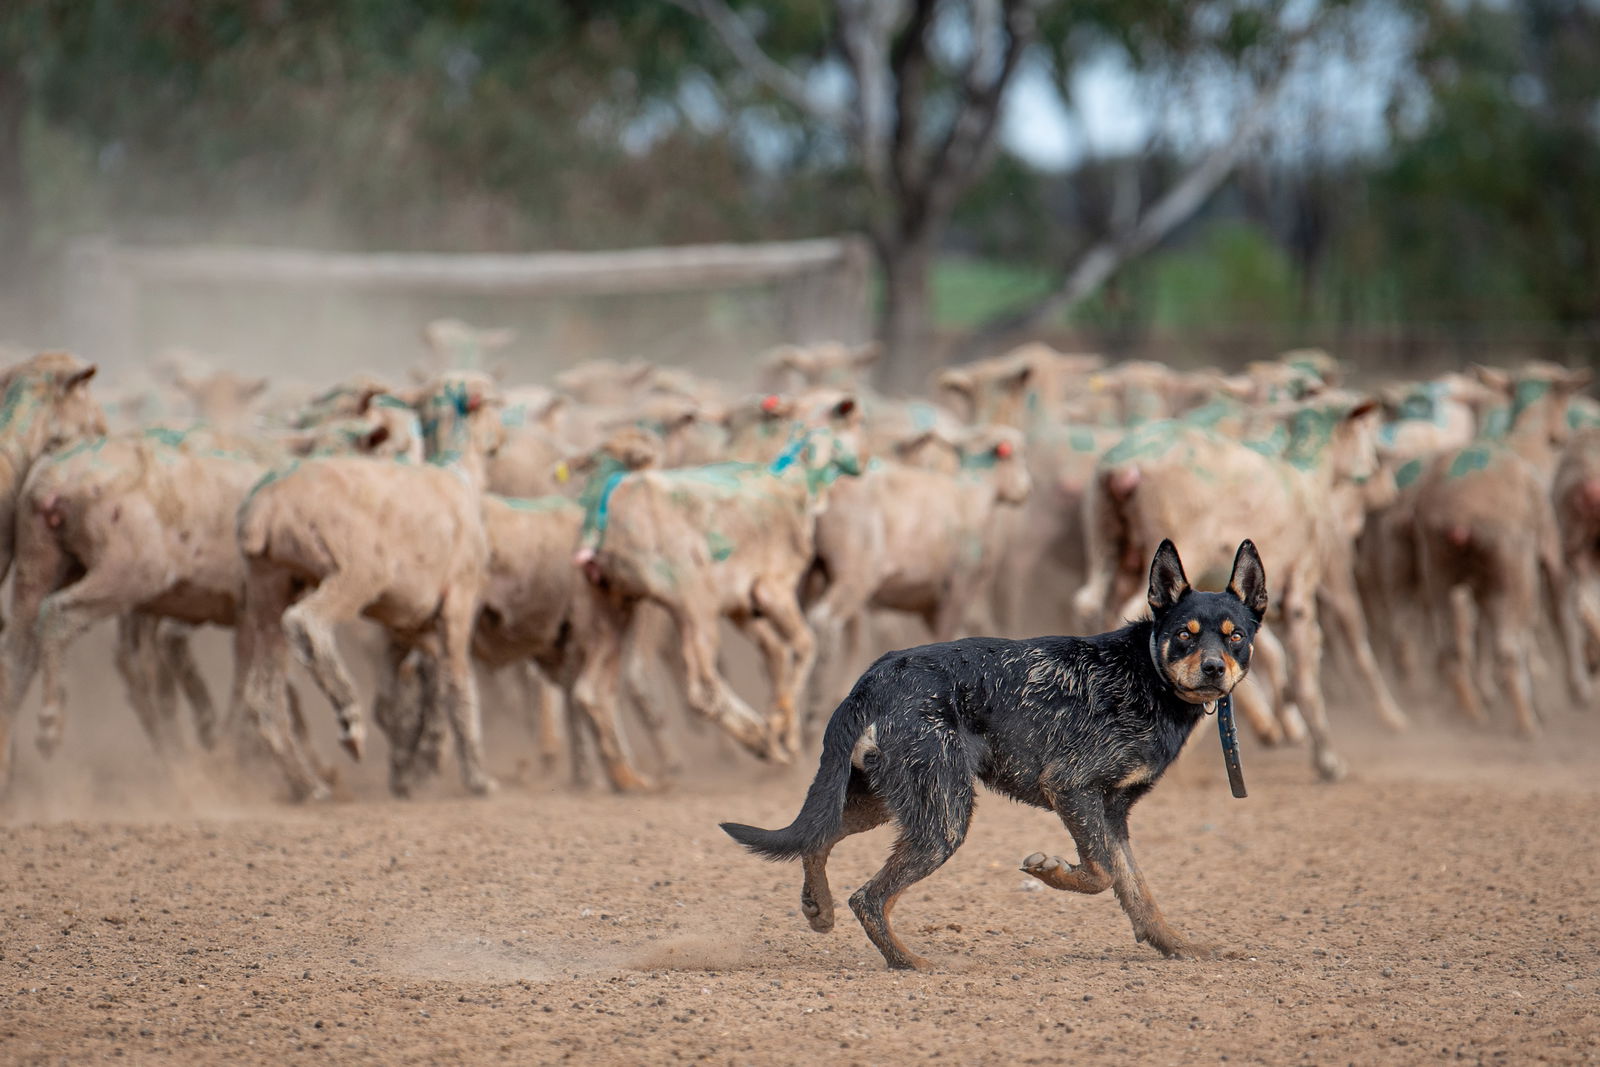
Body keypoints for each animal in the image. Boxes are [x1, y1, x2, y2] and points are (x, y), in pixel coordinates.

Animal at [723, 543, 1260, 966]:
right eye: (1186, 634)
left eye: (1235, 636)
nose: (1214, 669)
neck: (1147, 675)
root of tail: (874, 677)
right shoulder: (1071, 787)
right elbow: (1102, 873)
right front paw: (1052, 872)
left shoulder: (1113, 813)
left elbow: (1136, 888)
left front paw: (1175, 946)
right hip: (943, 819)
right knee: (869, 898)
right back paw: (909, 962)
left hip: (884, 800)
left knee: (816, 841)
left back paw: (820, 907)